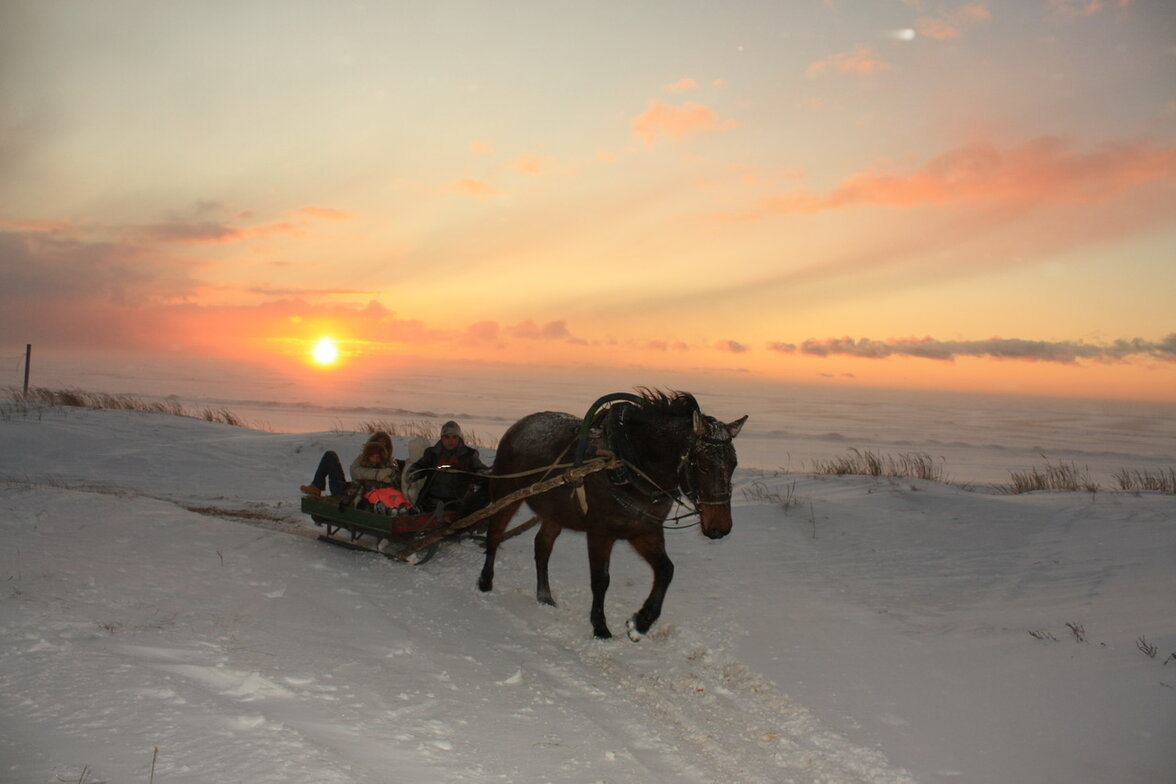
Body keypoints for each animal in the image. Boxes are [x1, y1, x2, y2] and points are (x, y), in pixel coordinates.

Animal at [475, 390, 743, 639]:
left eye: (734, 464)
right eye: (703, 466)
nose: (720, 528)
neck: (627, 465)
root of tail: (520, 424)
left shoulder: (644, 530)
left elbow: (666, 571)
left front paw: (641, 622)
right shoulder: (600, 533)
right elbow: (600, 580)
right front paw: (600, 627)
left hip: (556, 513)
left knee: (542, 546)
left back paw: (545, 596)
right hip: (506, 493)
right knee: (495, 533)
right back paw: (485, 581)